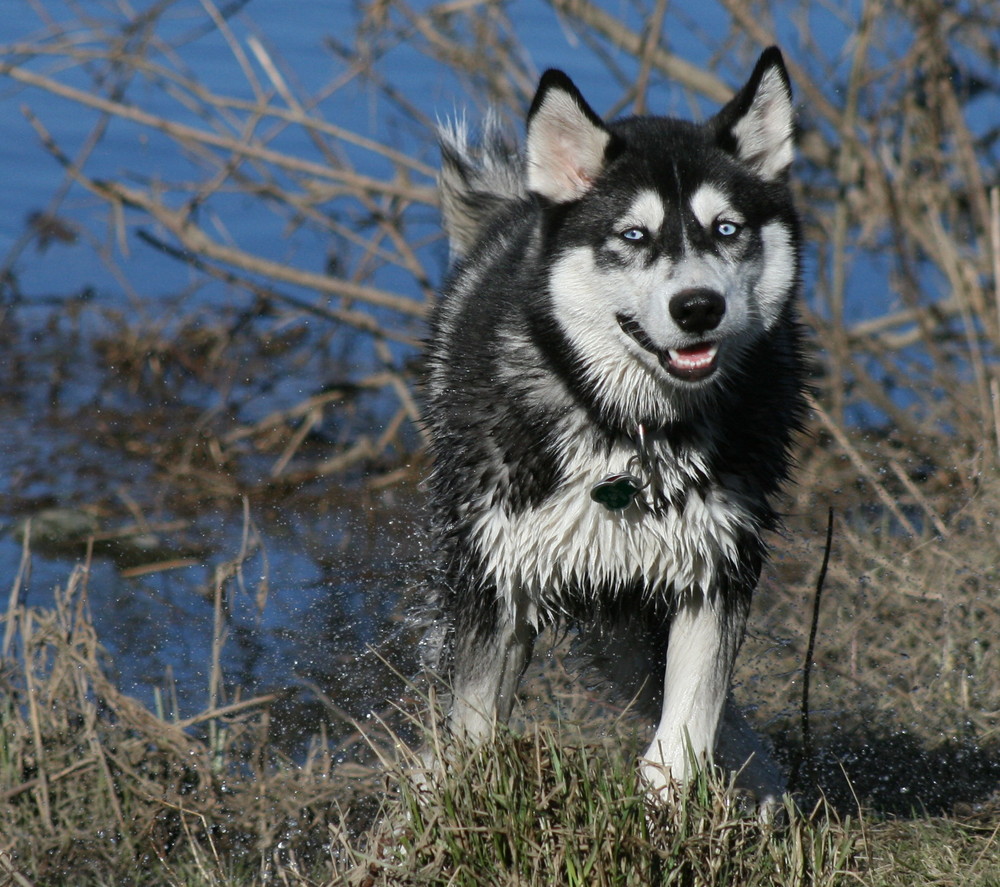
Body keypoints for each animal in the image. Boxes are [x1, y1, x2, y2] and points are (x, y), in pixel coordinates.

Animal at [420, 48, 804, 804]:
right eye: (634, 236)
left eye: (727, 229)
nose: (698, 307)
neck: (633, 435)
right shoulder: (501, 583)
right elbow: (473, 726)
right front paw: (457, 800)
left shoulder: (714, 568)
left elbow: (689, 722)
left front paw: (674, 803)